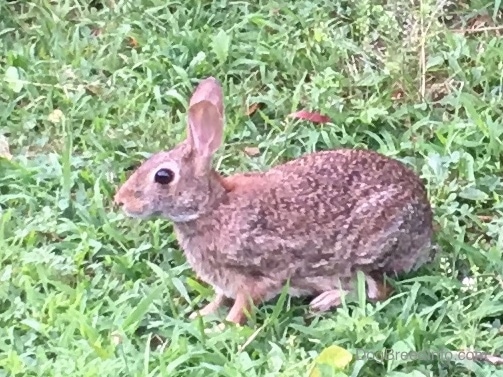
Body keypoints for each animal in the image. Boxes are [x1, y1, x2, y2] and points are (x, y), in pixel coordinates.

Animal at [113, 76, 434, 326]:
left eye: (163, 176)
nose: (120, 201)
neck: (211, 206)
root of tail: (425, 218)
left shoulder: (256, 278)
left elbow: (241, 308)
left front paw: (221, 331)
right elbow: (218, 299)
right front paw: (199, 316)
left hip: (365, 249)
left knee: (376, 290)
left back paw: (323, 301)